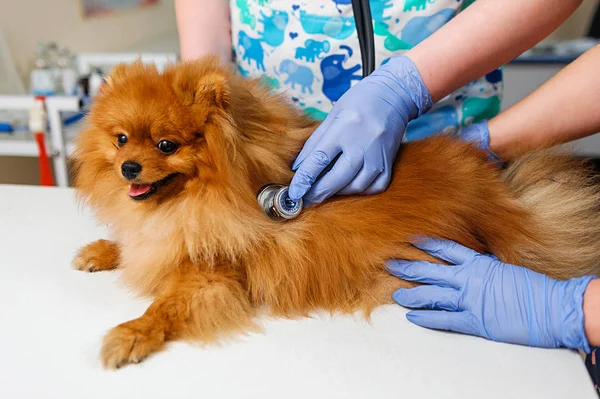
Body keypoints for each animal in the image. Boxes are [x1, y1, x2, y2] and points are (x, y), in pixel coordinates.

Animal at [72, 57, 600, 370]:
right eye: (121, 139)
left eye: (167, 145)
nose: (129, 167)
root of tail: (501, 198)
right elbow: (132, 246)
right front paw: (101, 250)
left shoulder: (213, 273)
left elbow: (165, 306)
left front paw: (132, 334)